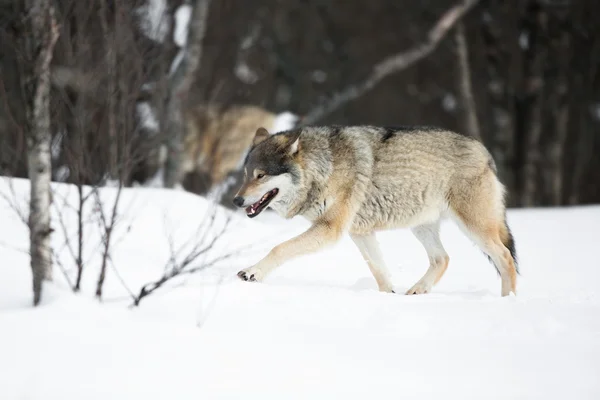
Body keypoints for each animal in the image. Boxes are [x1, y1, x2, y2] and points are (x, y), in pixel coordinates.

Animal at [232, 125, 516, 296]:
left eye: (260, 175)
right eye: (246, 175)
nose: (236, 200)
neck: (323, 169)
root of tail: (485, 152)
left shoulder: (330, 230)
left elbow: (279, 248)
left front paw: (252, 272)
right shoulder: (360, 232)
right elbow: (378, 270)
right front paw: (388, 296)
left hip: (475, 228)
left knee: (505, 258)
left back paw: (508, 300)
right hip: (421, 226)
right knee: (442, 258)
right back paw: (417, 291)